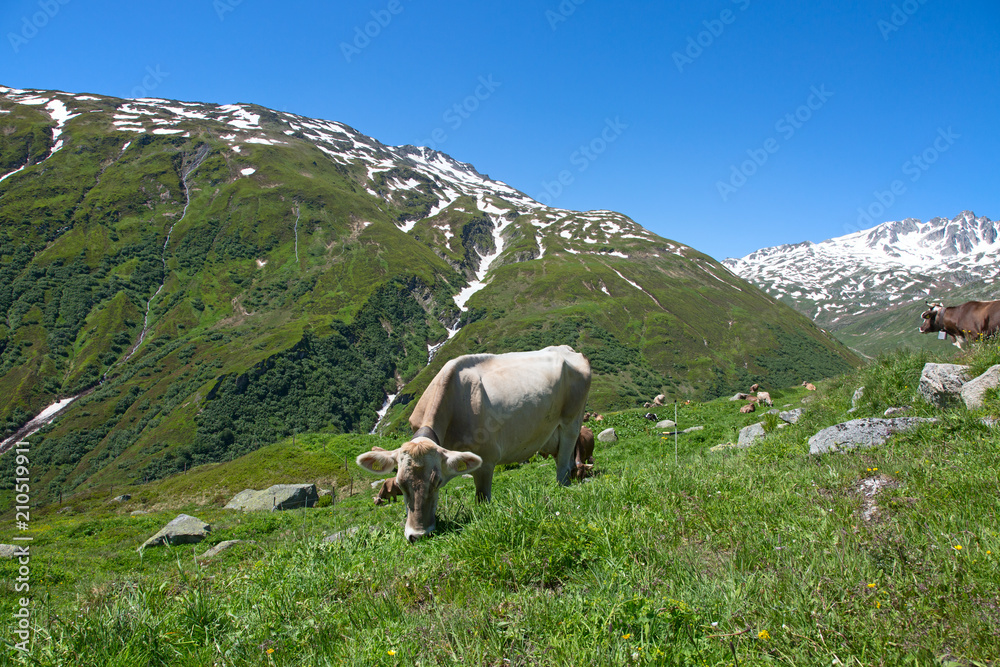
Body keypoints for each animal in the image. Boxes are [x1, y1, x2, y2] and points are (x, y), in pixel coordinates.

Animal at [356, 345, 592, 542]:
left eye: (437, 482)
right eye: (400, 483)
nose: (418, 535)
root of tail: (568, 349)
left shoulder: (486, 460)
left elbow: (482, 500)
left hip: (571, 422)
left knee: (563, 467)